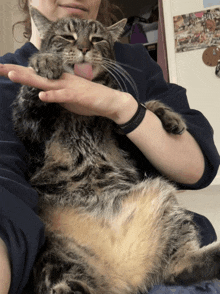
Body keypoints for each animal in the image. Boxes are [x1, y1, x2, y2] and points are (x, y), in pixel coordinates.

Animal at [12, 6, 220, 294]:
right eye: (67, 36)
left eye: (97, 39)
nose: (84, 48)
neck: (81, 113)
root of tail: (122, 280)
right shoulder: (30, 129)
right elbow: (29, 95)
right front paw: (44, 62)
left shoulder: (124, 137)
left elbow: (141, 104)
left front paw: (170, 118)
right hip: (59, 266)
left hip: (163, 199)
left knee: (177, 270)